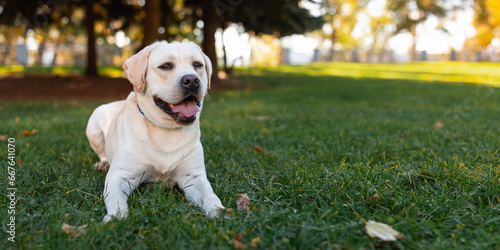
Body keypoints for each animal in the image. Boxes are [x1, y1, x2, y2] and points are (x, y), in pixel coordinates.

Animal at [86, 41, 225, 223]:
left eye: (197, 65)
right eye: (166, 66)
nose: (192, 80)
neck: (165, 129)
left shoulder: (193, 176)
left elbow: (209, 196)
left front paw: (220, 213)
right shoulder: (120, 175)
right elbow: (116, 199)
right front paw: (117, 217)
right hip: (94, 124)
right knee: (102, 153)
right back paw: (102, 163)